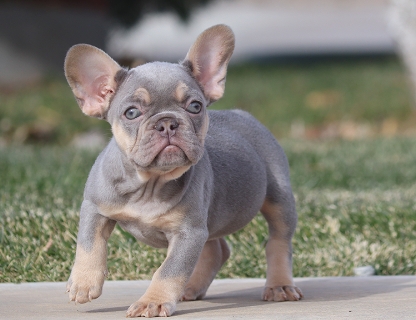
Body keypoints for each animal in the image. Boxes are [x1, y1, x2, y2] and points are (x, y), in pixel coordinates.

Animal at [63, 24, 302, 318]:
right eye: (131, 113)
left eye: (195, 106)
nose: (167, 122)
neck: (150, 183)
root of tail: (243, 114)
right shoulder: (95, 207)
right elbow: (88, 244)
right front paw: (83, 282)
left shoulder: (188, 233)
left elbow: (170, 270)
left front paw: (152, 302)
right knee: (217, 250)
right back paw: (192, 288)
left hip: (278, 197)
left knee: (278, 241)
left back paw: (279, 285)